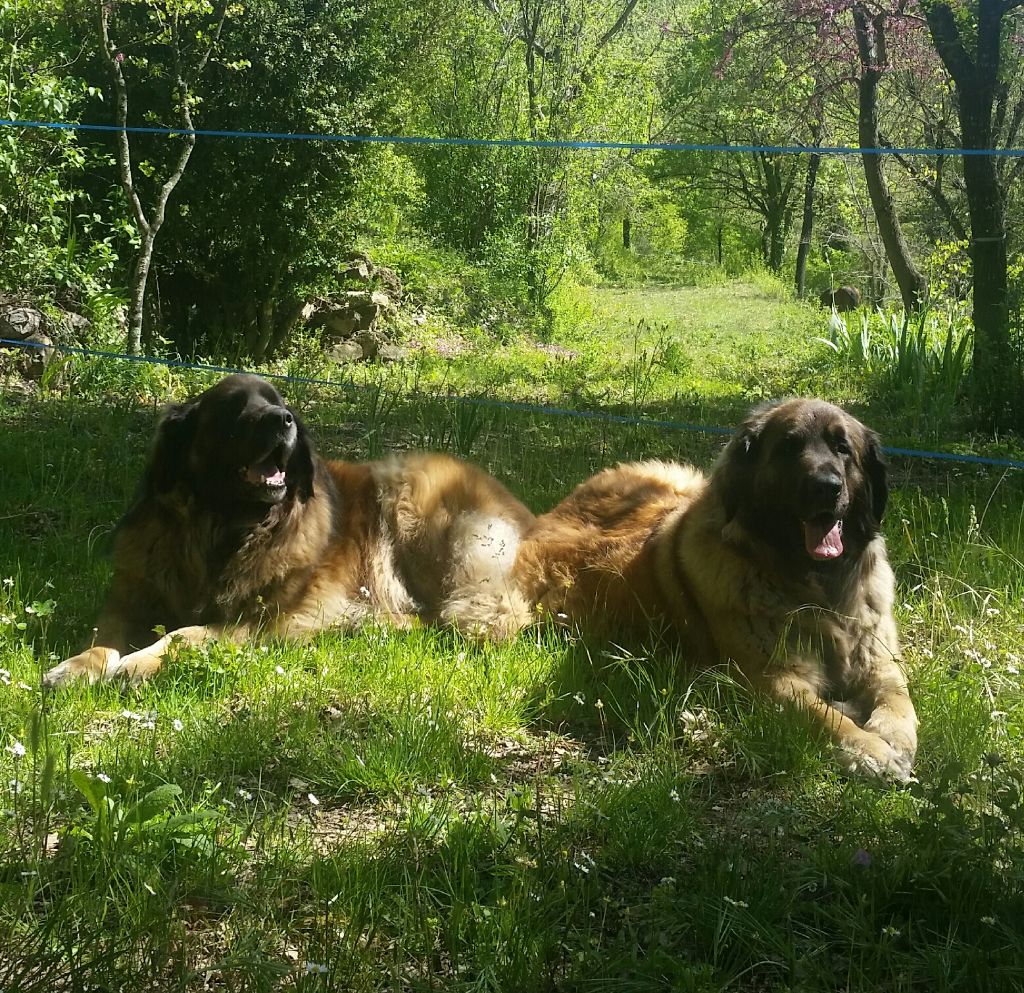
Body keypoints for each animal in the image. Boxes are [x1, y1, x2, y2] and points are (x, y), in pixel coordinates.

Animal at [43, 374, 532, 683]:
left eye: (279, 403)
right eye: (233, 408)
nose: (283, 420)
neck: (223, 528)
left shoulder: (257, 620)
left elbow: (183, 635)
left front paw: (137, 664)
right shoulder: (131, 597)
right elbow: (104, 638)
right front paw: (78, 666)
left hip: (411, 496)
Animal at [507, 399, 917, 778]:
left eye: (843, 448)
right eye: (788, 447)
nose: (826, 488)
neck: (817, 585)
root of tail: (549, 516)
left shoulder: (880, 661)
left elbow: (899, 699)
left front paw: (894, 737)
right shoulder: (770, 679)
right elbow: (825, 716)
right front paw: (870, 749)